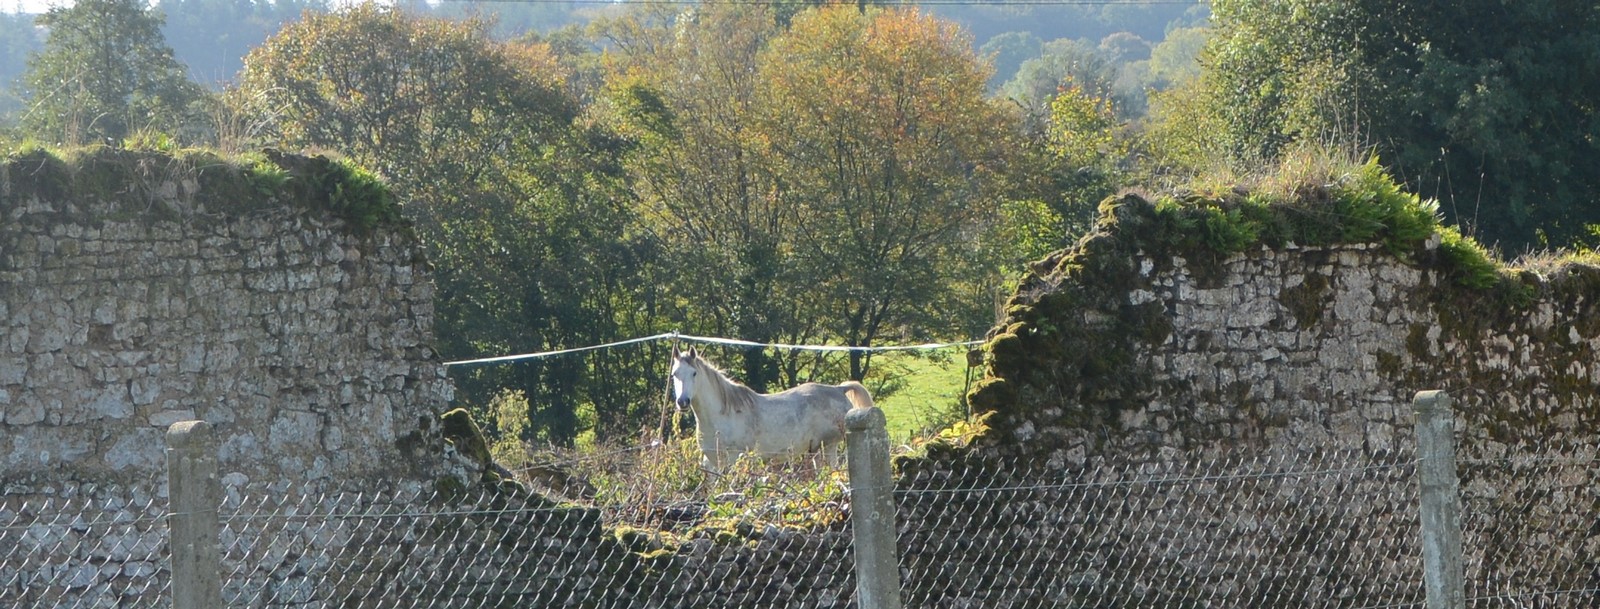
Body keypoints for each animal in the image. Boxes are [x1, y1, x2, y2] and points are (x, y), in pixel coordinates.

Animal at [672, 346, 883, 469]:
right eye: (675, 374)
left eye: (694, 373)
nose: (683, 402)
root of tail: (839, 389)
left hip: (829, 446)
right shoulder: (711, 463)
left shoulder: (734, 458)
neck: (722, 415)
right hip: (815, 449)